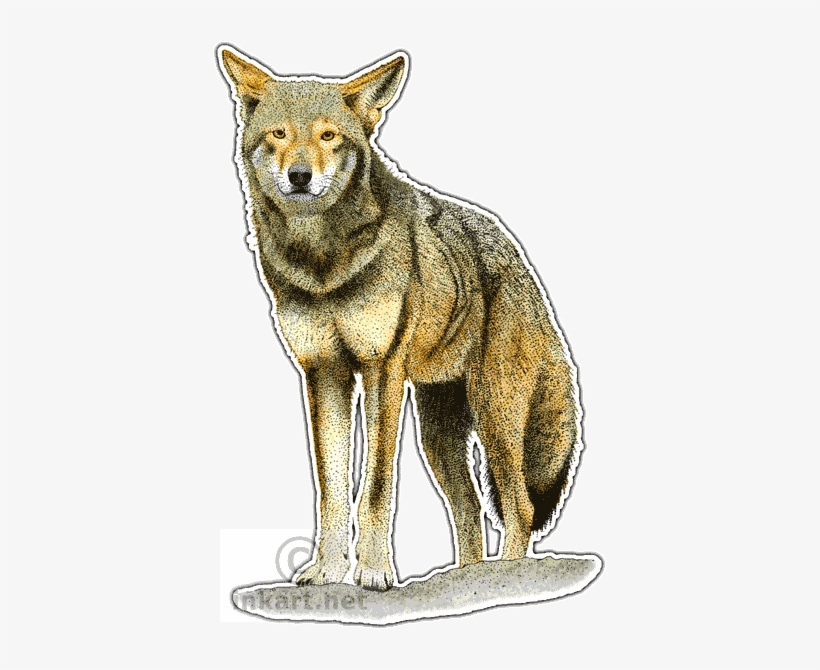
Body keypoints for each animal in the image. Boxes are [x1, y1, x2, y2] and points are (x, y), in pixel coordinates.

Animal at [218, 46, 583, 591]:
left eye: (329, 135)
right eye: (279, 134)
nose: (300, 176)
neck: (324, 262)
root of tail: (520, 261)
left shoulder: (381, 371)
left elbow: (374, 487)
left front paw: (373, 572)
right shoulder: (324, 374)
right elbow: (332, 487)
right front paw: (327, 571)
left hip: (495, 417)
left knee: (516, 505)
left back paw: (505, 576)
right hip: (438, 435)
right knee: (470, 508)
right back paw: (463, 578)